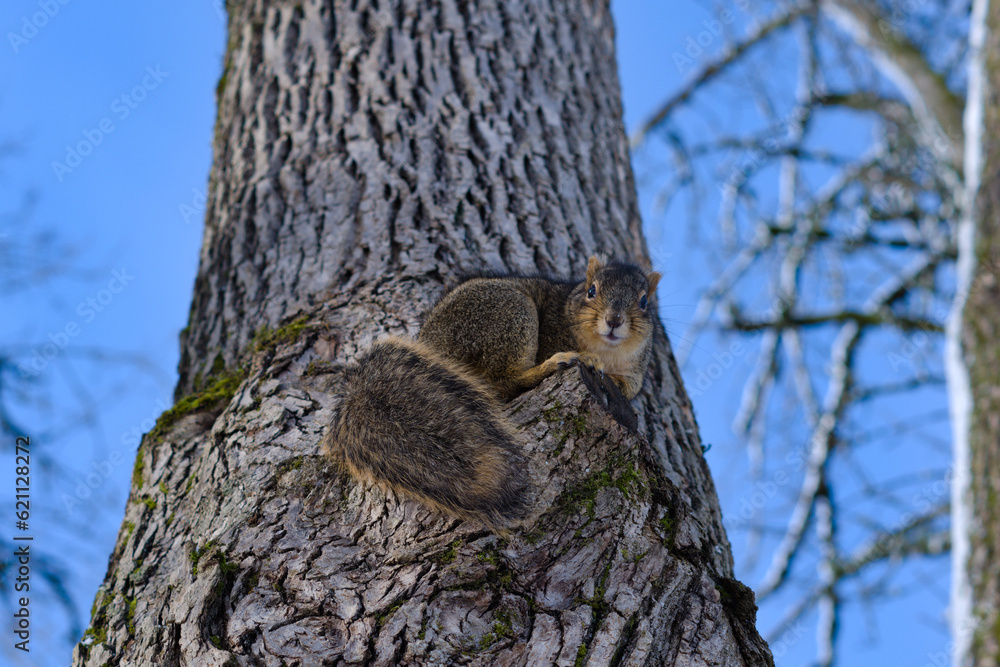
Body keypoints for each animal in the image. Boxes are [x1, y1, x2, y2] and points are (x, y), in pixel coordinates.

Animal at [322, 255, 661, 526]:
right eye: (592, 291)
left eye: (644, 302)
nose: (614, 320)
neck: (606, 350)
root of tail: (433, 347)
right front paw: (581, 357)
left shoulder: (634, 373)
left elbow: (626, 387)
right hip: (508, 310)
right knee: (503, 381)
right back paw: (554, 364)